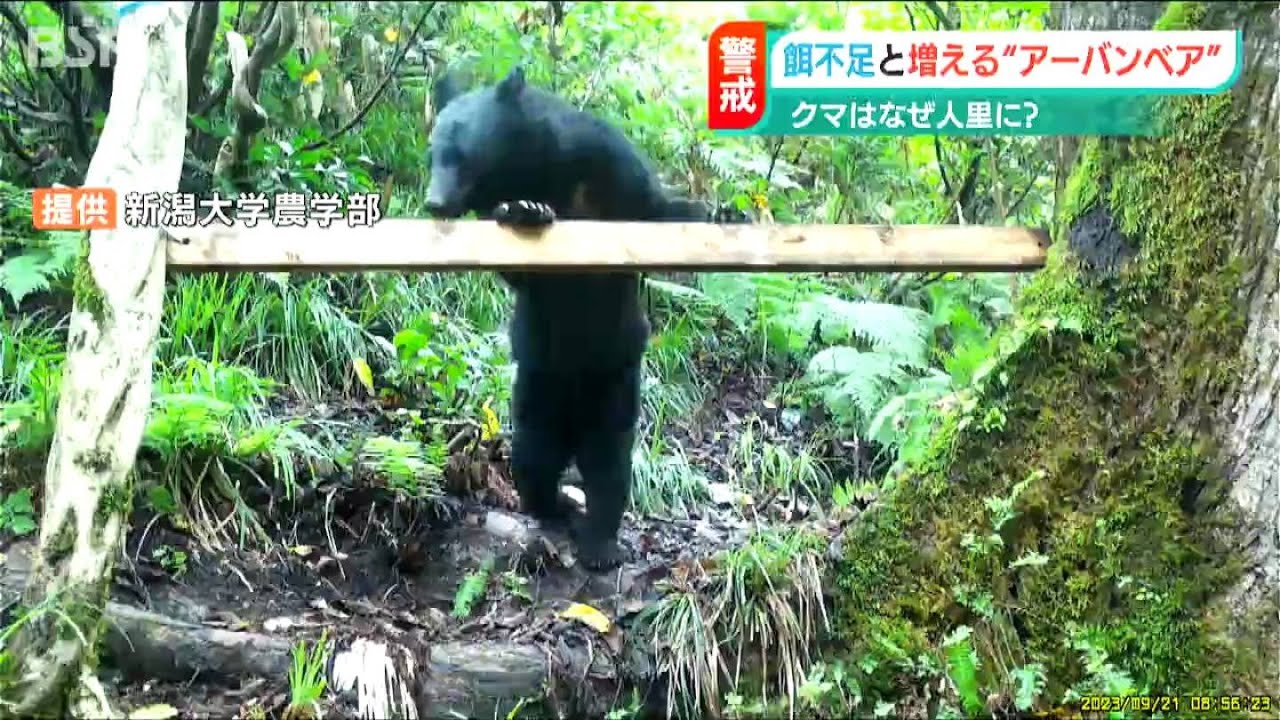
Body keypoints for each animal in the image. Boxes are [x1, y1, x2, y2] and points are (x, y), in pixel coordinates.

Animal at [424, 64, 748, 570]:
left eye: (460, 154)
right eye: (432, 152)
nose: (434, 202)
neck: (541, 169)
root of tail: (573, 426)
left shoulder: (611, 164)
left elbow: (661, 209)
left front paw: (725, 212)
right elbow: (520, 272)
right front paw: (525, 211)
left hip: (614, 385)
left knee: (609, 464)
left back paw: (600, 541)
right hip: (538, 389)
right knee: (534, 456)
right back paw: (556, 508)